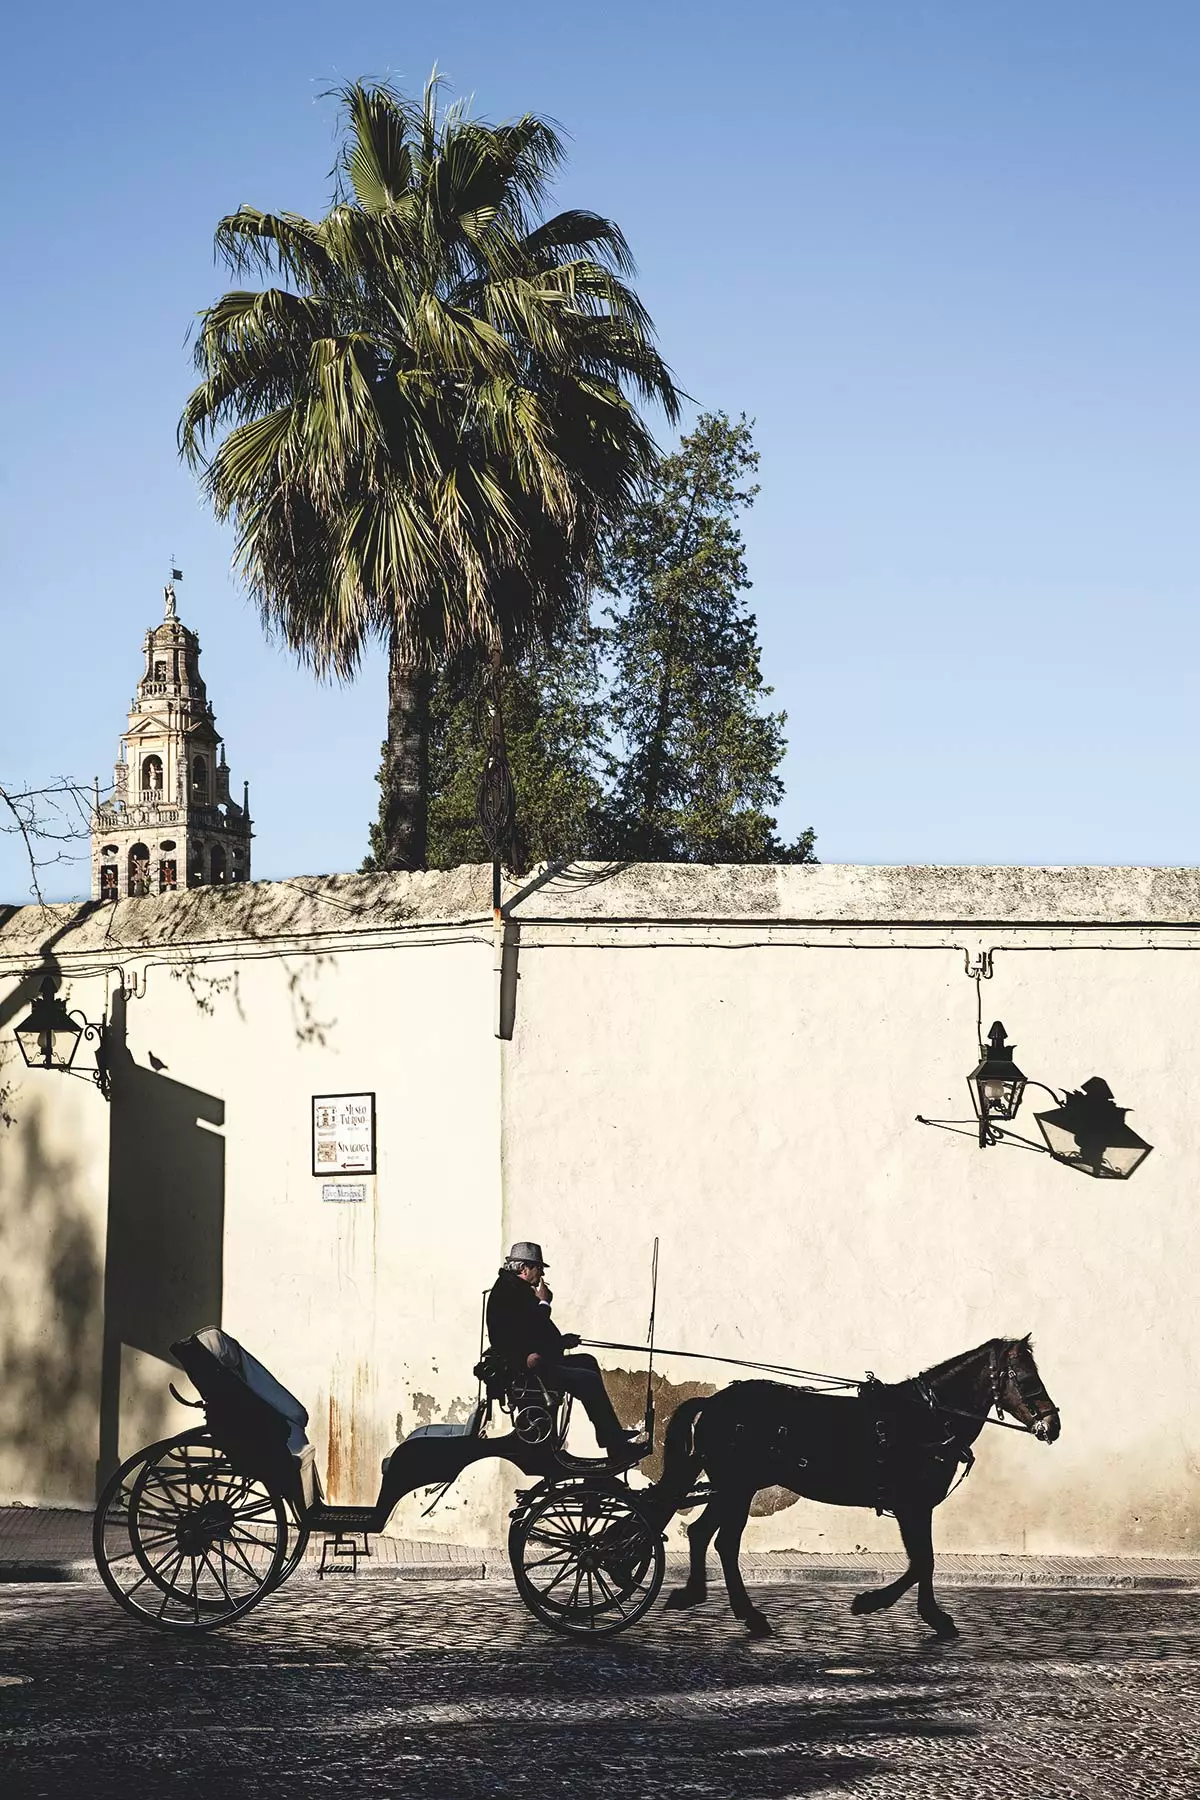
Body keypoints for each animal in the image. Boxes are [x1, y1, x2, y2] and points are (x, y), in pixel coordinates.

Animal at [647, 1332, 1057, 1641]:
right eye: (1025, 1377)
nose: (1053, 1425)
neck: (926, 1419)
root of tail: (714, 1402)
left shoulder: (916, 1506)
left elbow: (923, 1561)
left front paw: (930, 1616)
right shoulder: (911, 1505)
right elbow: (922, 1560)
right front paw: (876, 1603)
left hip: (733, 1487)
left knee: (703, 1534)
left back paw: (697, 1595)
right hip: (738, 1487)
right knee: (724, 1542)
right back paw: (748, 1614)